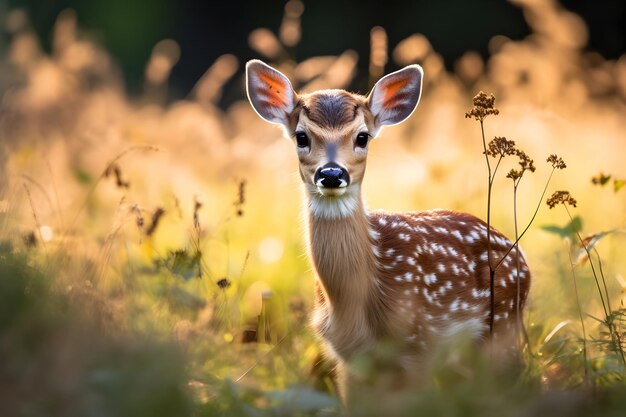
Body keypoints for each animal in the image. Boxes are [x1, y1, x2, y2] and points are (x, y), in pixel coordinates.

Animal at [246, 59, 528, 400]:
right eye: (301, 137)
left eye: (362, 137)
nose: (332, 174)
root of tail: (523, 258)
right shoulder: (349, 359)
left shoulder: (419, 343)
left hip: (502, 326)